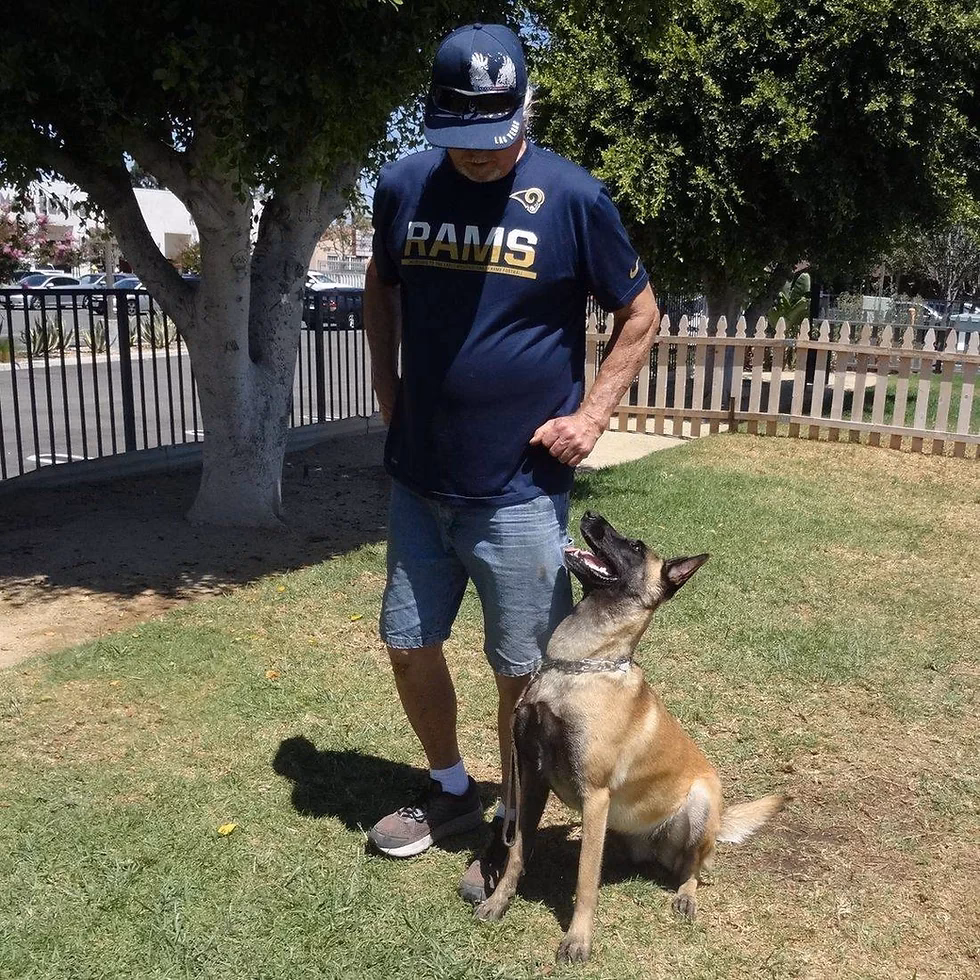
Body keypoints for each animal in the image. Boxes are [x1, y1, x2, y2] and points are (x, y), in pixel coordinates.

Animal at [474, 511, 785, 963]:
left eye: (636, 547)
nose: (591, 515)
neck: (578, 666)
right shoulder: (532, 777)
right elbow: (517, 852)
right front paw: (499, 900)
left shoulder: (595, 794)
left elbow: (585, 881)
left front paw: (578, 938)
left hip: (700, 803)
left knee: (692, 868)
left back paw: (686, 895)